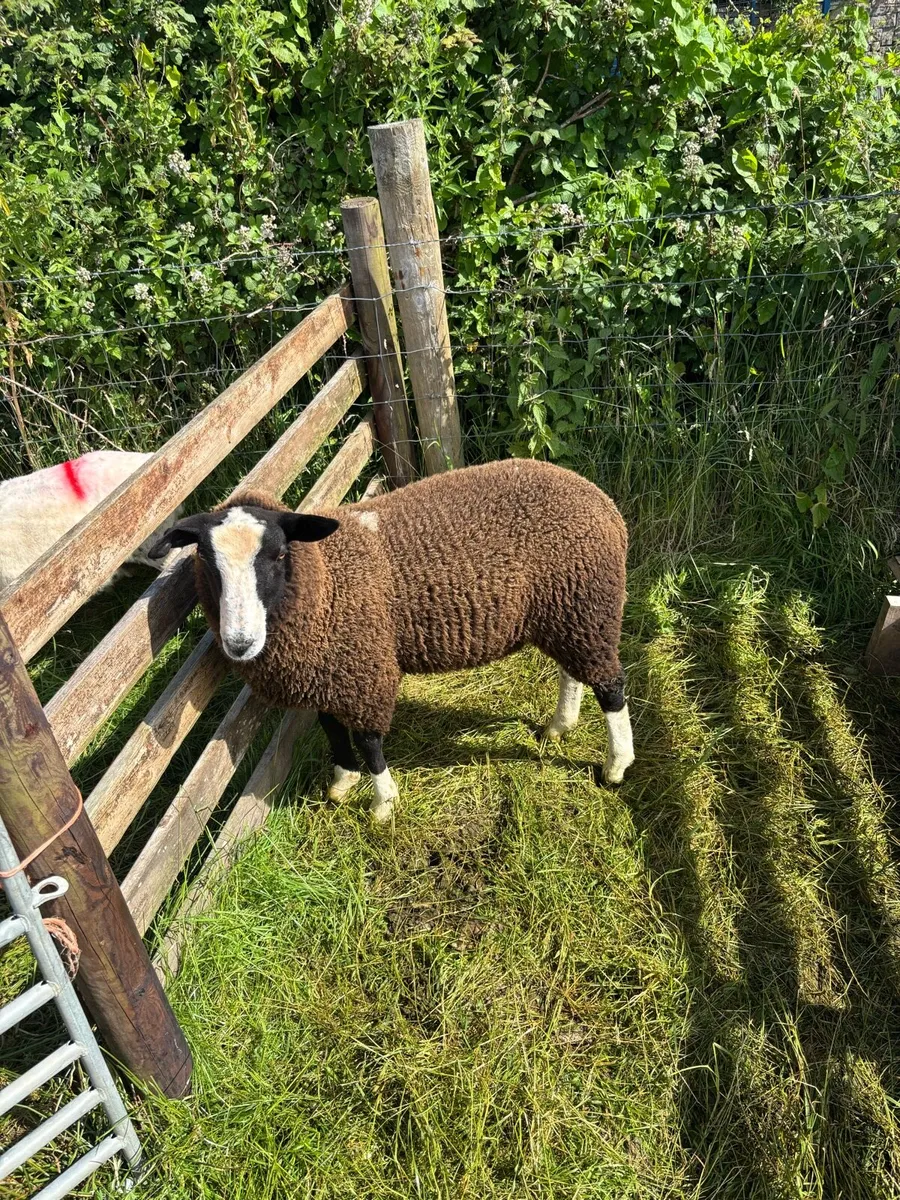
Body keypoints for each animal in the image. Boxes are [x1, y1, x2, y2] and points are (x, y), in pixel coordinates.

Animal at [149, 458, 634, 821]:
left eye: (280, 553)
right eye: (206, 560)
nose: (239, 643)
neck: (328, 577)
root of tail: (601, 500)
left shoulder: (364, 669)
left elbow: (369, 741)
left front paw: (383, 803)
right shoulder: (330, 672)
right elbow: (330, 726)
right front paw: (342, 781)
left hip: (587, 603)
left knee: (611, 687)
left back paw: (615, 766)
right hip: (566, 612)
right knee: (574, 671)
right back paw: (560, 726)